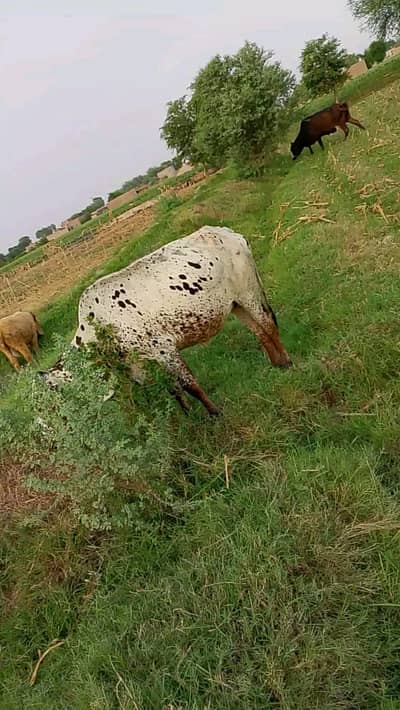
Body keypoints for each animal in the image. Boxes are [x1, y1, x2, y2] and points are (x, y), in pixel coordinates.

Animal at [41, 226, 292, 415]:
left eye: (56, 392)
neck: (99, 327)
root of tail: (223, 231)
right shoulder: (139, 366)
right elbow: (173, 390)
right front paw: (189, 414)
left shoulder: (164, 350)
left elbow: (189, 385)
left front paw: (214, 413)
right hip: (235, 304)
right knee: (258, 331)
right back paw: (276, 364)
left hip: (248, 293)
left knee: (268, 324)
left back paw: (287, 363)